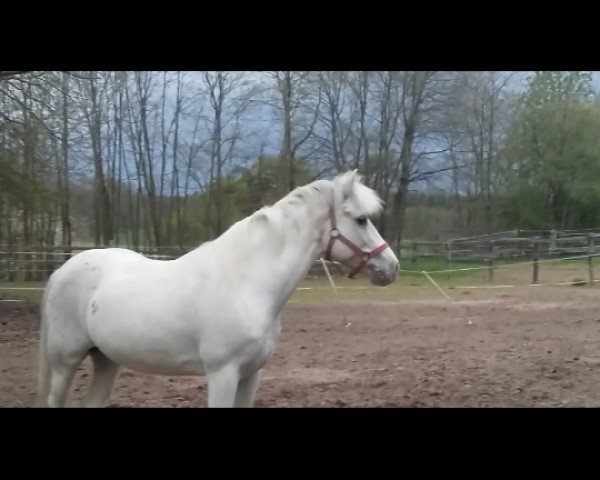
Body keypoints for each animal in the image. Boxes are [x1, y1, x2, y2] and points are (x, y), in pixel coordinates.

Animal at [34, 171, 398, 406]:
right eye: (362, 219)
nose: (391, 267)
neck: (248, 284)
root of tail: (62, 270)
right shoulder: (223, 374)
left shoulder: (251, 375)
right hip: (65, 362)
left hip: (107, 360)